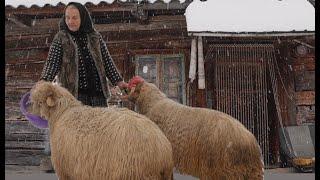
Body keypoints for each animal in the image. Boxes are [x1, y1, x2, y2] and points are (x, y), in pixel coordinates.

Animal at [126, 76, 264, 180]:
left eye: (132, 85)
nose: (124, 88)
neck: (153, 103)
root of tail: (251, 142)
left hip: (224, 171)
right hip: (247, 173)